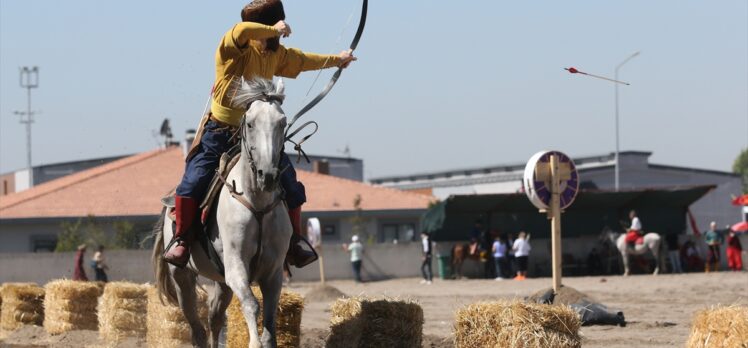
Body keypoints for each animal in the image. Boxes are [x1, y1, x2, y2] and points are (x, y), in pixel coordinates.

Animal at [152, 79, 292, 348]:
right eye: (250, 123)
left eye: (283, 122)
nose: (268, 175)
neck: (256, 202)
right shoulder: (236, 267)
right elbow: (251, 305)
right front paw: (253, 342)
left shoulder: (273, 273)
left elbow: (270, 326)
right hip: (182, 278)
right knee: (197, 329)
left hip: (220, 282)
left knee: (215, 319)